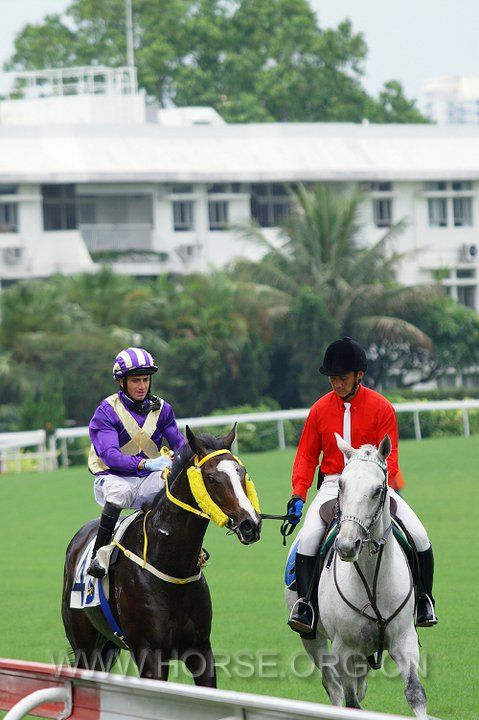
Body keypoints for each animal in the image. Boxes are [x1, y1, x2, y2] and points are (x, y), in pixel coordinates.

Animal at [62, 424, 262, 684]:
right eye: (211, 478)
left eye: (242, 473)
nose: (250, 524)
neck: (172, 564)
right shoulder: (150, 654)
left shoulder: (200, 649)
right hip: (84, 644)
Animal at [284, 436, 428, 716]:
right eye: (341, 484)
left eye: (378, 490)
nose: (347, 546)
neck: (373, 579)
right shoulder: (344, 652)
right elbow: (351, 702)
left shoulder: (404, 640)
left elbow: (415, 693)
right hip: (313, 640)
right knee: (334, 688)